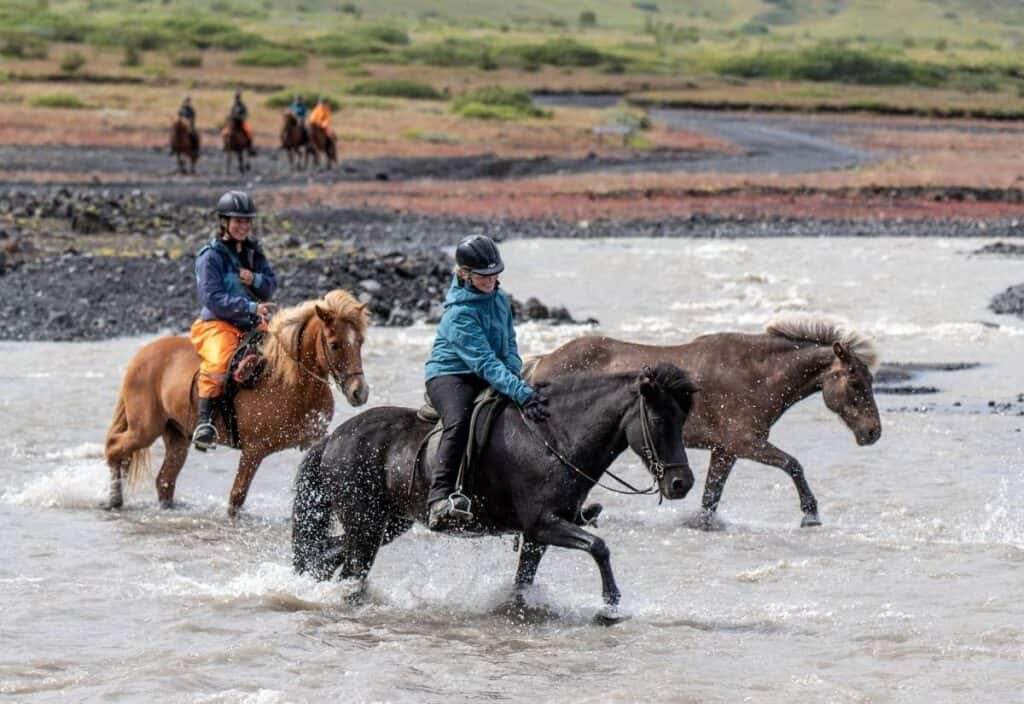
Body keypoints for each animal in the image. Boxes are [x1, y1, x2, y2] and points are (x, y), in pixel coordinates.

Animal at [104, 290, 370, 516]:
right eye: (334, 344)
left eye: (360, 341)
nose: (359, 392)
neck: (290, 381)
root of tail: (141, 355)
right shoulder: (253, 451)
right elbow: (236, 497)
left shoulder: (313, 441)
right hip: (145, 430)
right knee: (114, 448)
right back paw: (114, 500)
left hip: (177, 436)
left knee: (164, 481)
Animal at [292, 363, 696, 620]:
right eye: (657, 419)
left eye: (682, 419)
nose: (682, 484)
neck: (555, 439)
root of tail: (334, 437)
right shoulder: (543, 525)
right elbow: (599, 547)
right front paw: (611, 606)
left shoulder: (538, 535)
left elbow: (523, 581)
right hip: (365, 523)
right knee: (351, 572)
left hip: (385, 525)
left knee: (329, 554)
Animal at [529, 314, 881, 529]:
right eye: (855, 383)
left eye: (869, 380)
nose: (873, 432)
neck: (757, 374)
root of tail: (543, 360)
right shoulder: (746, 443)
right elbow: (793, 465)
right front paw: (810, 515)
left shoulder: (726, 451)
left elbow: (711, 498)